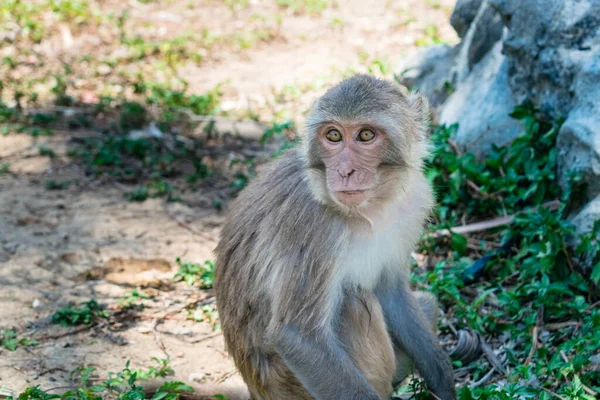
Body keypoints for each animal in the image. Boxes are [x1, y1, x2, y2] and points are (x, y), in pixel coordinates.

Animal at [213, 75, 452, 400]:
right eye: (334, 136)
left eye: (366, 135)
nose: (344, 171)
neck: (370, 209)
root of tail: (257, 390)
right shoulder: (313, 226)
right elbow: (299, 337)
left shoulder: (413, 203)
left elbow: (391, 289)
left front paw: (445, 382)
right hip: (291, 386)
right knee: (352, 305)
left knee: (425, 301)